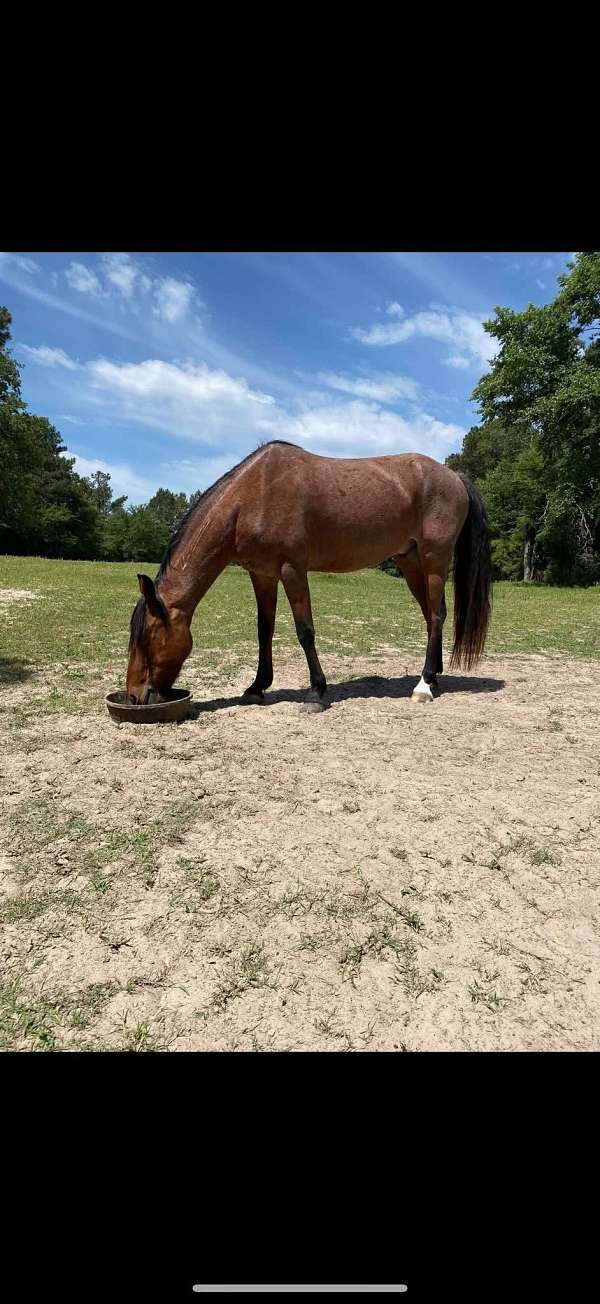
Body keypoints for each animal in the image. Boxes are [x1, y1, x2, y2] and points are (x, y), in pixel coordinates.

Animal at [126, 440, 492, 711]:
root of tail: (454, 475)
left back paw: (424, 685)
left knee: (437, 616)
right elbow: (264, 630)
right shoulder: (262, 574)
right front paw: (257, 687)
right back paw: (434, 677)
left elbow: (305, 631)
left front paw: (316, 692)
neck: (254, 495)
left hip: (434, 560)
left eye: (145, 639)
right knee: (432, 616)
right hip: (411, 562)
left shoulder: (292, 569)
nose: (133, 696)